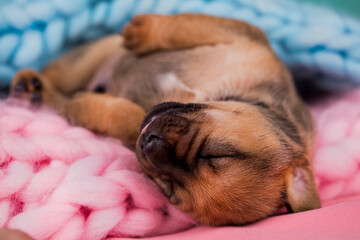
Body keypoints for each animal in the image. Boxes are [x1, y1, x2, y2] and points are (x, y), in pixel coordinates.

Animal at [9, 13, 320, 227]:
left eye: (169, 190)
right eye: (216, 154)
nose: (150, 142)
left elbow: (129, 118)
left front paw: (87, 106)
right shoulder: (238, 34)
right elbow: (181, 26)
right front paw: (142, 31)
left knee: (60, 94)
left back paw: (40, 96)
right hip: (87, 60)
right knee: (59, 72)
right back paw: (29, 84)